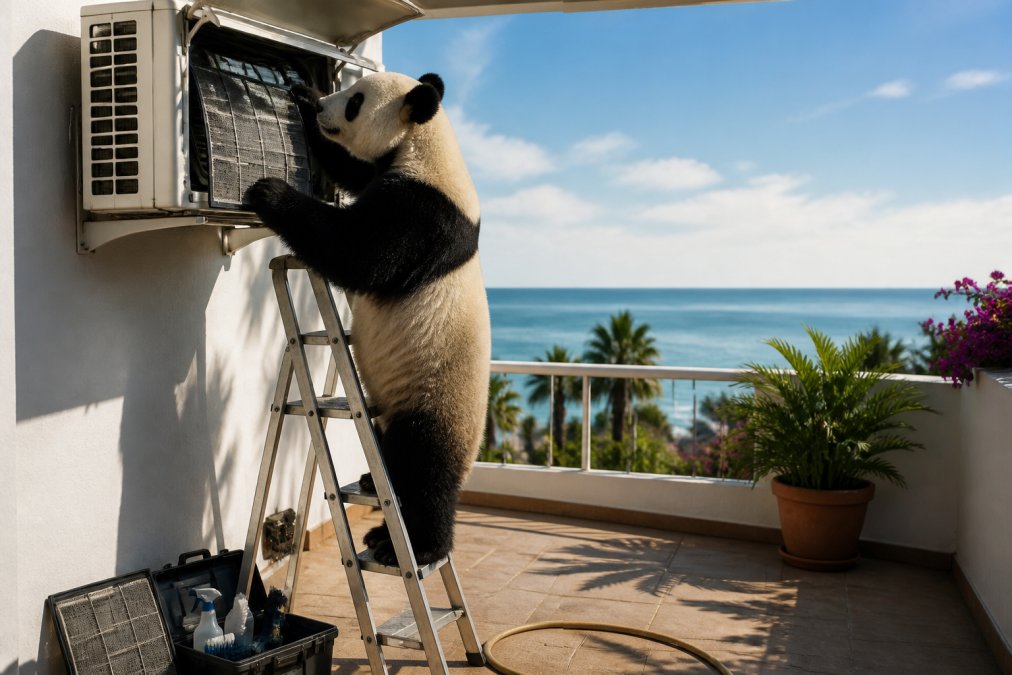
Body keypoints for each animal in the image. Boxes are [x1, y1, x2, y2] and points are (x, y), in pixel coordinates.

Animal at [244, 72, 490, 567]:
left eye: (355, 101)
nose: (325, 108)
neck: (423, 139)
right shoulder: (385, 174)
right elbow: (351, 169)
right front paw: (303, 98)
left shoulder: (422, 213)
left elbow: (358, 252)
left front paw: (268, 192)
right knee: (391, 451)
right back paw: (375, 497)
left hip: (438, 398)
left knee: (425, 472)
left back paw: (414, 546)